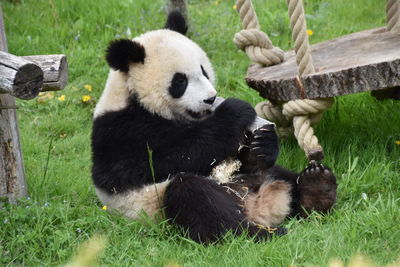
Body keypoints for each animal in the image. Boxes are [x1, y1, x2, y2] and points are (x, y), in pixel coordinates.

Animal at [92, 11, 336, 245]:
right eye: (180, 81)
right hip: (156, 206)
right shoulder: (123, 132)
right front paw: (236, 110)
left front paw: (263, 144)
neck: (133, 97)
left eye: (204, 71)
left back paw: (316, 188)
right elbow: (176, 155)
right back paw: (257, 233)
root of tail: (257, 207)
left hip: (257, 178)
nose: (210, 98)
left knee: (280, 175)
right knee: (196, 199)